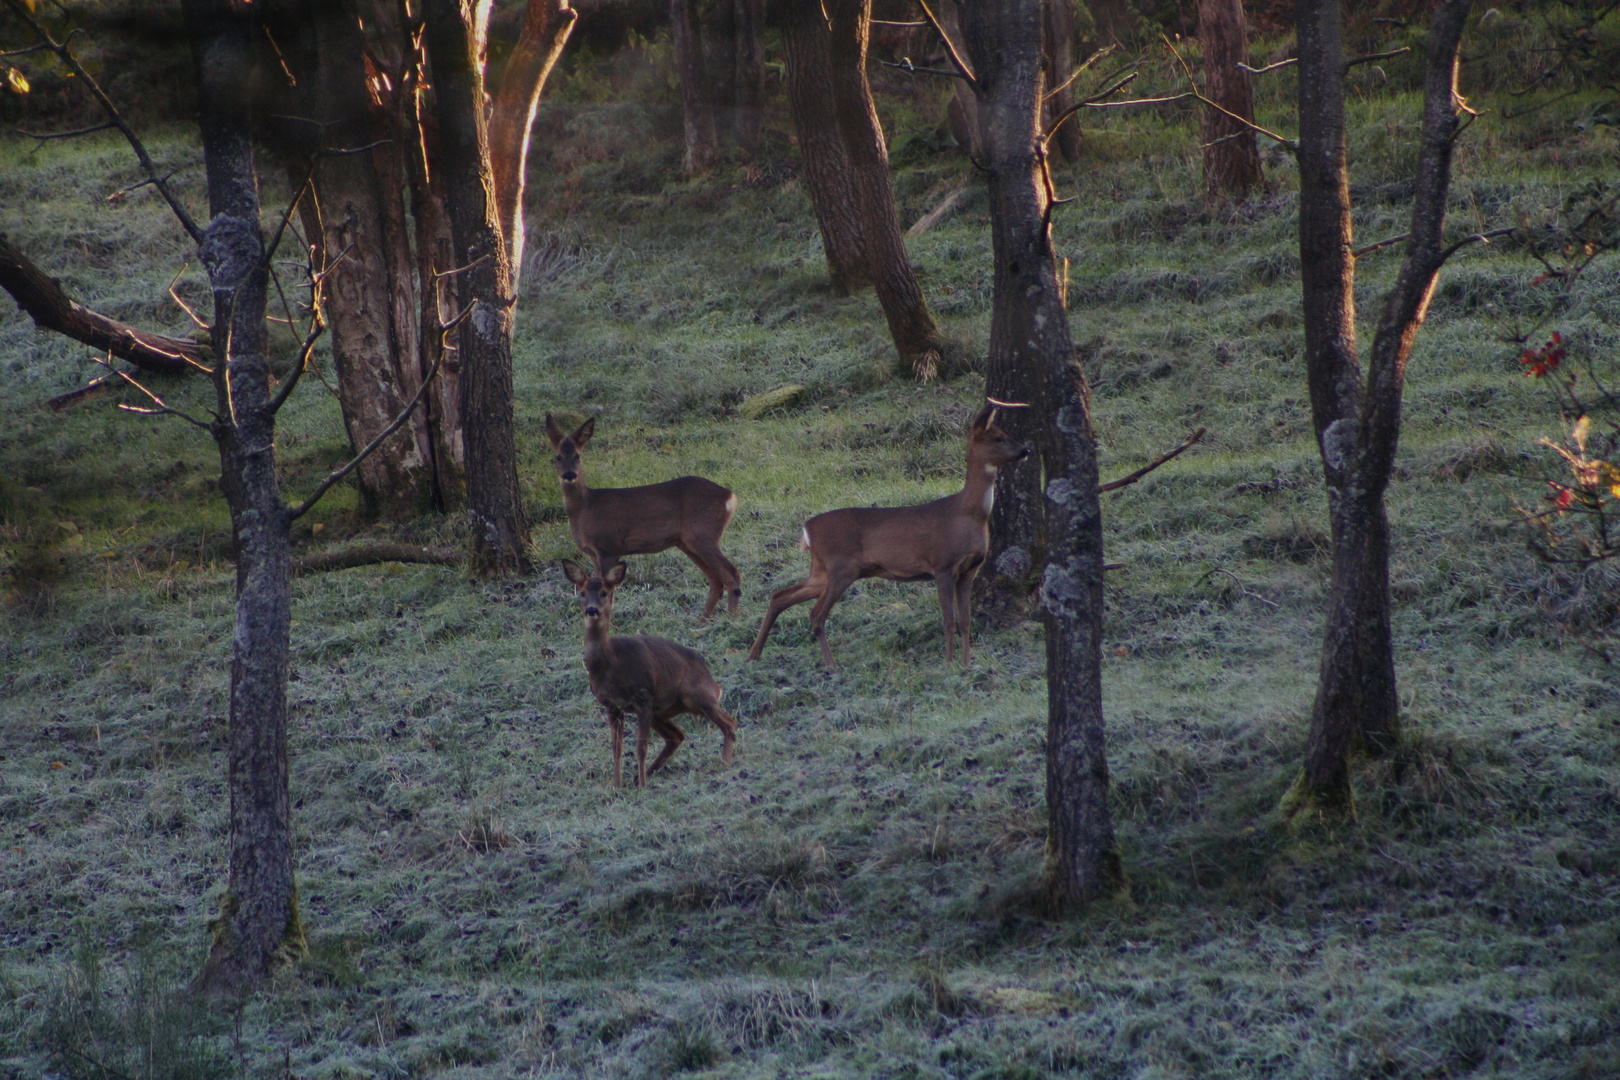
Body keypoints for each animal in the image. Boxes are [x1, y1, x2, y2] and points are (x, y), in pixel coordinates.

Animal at [547, 411, 741, 621]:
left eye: (578, 455)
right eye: (557, 457)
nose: (569, 474)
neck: (585, 507)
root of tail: (730, 496)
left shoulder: (608, 547)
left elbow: (608, 594)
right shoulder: (593, 553)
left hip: (703, 534)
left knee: (731, 573)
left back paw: (732, 620)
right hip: (687, 542)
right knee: (716, 580)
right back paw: (701, 622)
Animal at [557, 563, 735, 790]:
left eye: (604, 593)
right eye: (582, 593)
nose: (591, 610)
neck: (610, 664)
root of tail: (714, 683)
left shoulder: (643, 696)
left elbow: (641, 747)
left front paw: (642, 786)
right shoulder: (612, 706)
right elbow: (616, 747)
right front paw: (617, 784)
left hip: (696, 695)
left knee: (728, 722)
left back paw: (725, 763)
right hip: (662, 711)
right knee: (677, 736)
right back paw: (645, 774)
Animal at [748, 403, 1030, 670]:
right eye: (999, 438)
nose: (1025, 450)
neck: (968, 514)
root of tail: (807, 529)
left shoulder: (969, 569)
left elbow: (965, 621)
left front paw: (966, 664)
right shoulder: (943, 564)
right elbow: (949, 620)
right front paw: (950, 664)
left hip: (822, 570)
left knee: (780, 596)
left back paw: (754, 654)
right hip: (841, 566)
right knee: (816, 614)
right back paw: (831, 665)